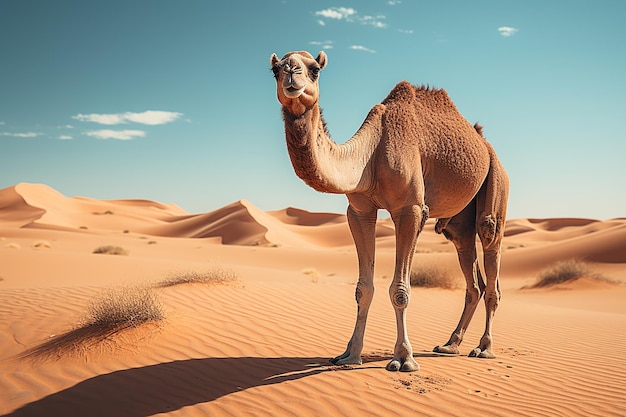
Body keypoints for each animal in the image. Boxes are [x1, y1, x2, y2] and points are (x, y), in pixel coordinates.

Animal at [268, 50, 508, 372]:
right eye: (275, 69)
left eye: (315, 69)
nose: (292, 73)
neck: (371, 153)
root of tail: (484, 143)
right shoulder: (359, 211)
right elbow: (363, 288)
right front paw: (349, 355)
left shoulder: (411, 209)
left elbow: (400, 290)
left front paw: (403, 358)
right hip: (459, 222)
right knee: (471, 272)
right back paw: (450, 345)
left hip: (497, 183)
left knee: (490, 248)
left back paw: (484, 348)